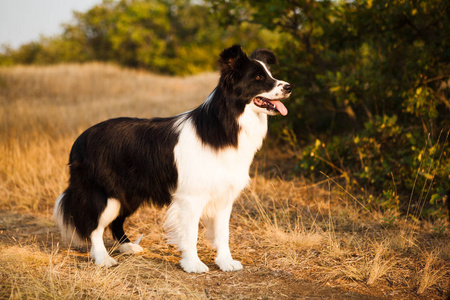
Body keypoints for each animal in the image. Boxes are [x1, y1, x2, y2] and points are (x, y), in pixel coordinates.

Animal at [53, 44, 292, 272]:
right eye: (258, 78)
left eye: (270, 74)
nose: (289, 87)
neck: (225, 125)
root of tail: (81, 139)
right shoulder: (191, 197)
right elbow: (191, 233)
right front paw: (193, 264)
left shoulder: (224, 195)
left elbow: (223, 234)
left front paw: (226, 262)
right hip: (105, 194)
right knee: (94, 227)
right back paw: (103, 259)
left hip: (127, 194)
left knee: (115, 222)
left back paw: (127, 246)